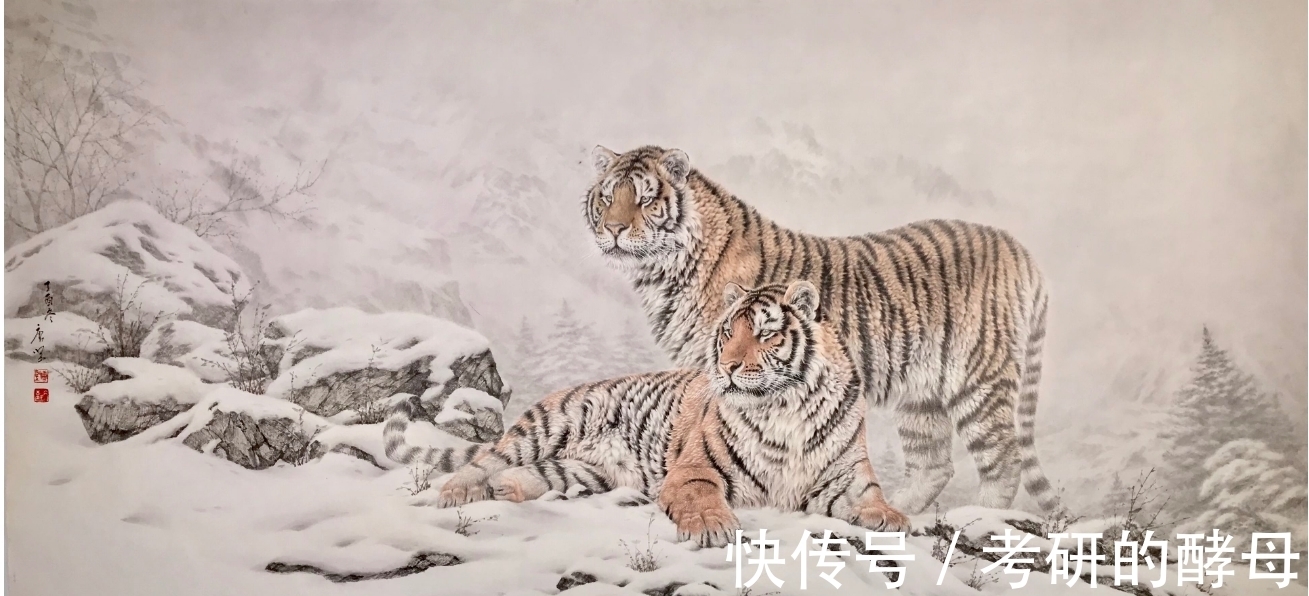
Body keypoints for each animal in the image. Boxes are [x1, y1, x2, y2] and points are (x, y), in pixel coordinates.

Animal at [384, 281, 909, 547]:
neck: (783, 408)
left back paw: (506, 489)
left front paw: (895, 519)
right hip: (546, 426)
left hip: (586, 470)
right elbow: (703, 498)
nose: (728, 366)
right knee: (480, 462)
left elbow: (874, 500)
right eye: (728, 332)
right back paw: (459, 494)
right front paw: (714, 528)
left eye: (765, 334)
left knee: (535, 474)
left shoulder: (848, 477)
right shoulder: (696, 470)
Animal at [583, 144, 1060, 515]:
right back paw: (899, 511)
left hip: (978, 378)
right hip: (921, 392)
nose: (614, 229)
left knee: (1004, 460)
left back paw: (979, 517)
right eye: (606, 198)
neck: (662, 273)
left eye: (645, 199)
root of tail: (1018, 248)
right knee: (934, 463)